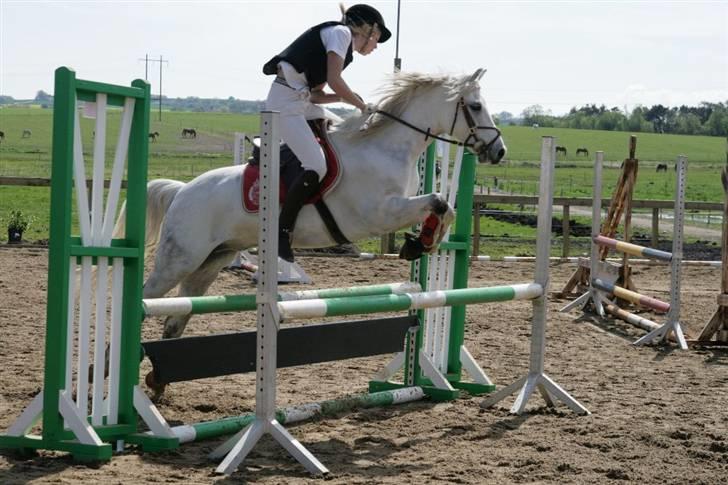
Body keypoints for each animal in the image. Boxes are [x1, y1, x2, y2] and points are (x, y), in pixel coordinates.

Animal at [116, 69, 506, 340]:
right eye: (475, 107)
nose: (499, 151)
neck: (384, 147)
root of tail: (183, 190)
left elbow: (445, 208)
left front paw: (421, 242)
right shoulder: (379, 214)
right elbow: (437, 201)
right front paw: (420, 242)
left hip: (213, 259)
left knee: (178, 312)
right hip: (180, 257)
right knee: (145, 299)